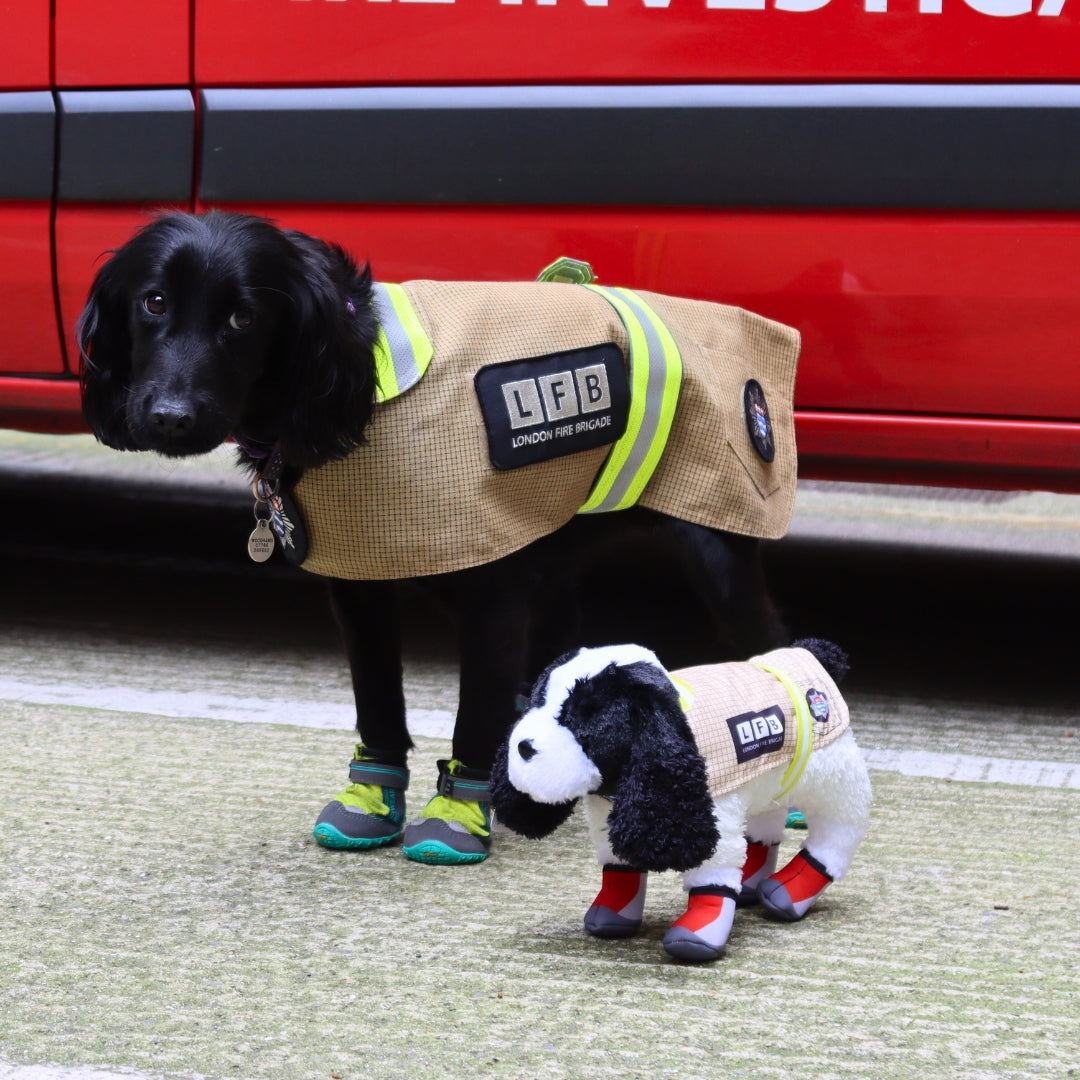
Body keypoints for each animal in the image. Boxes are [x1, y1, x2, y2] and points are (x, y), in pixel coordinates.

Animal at [73, 210, 786, 864]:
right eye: (153, 302)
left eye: (243, 319)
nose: (169, 418)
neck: (359, 391)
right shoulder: (360, 585)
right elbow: (377, 697)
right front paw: (372, 798)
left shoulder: (496, 588)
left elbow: (475, 708)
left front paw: (456, 816)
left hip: (717, 551)